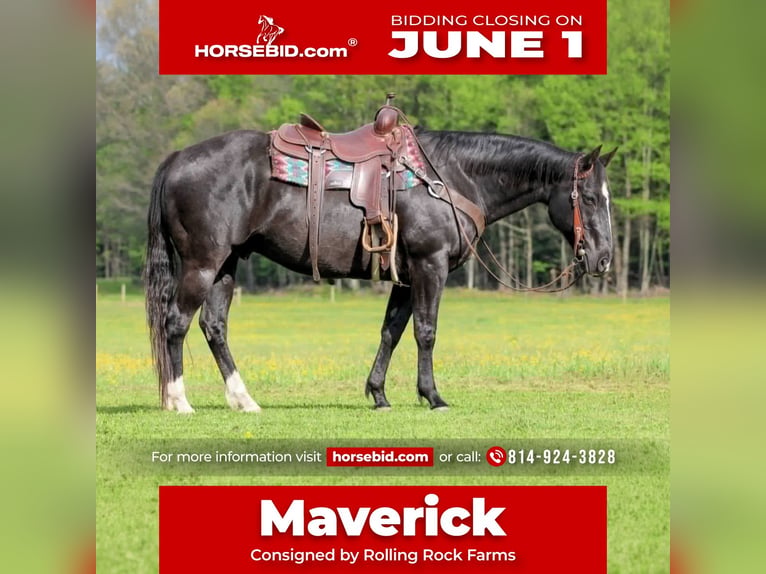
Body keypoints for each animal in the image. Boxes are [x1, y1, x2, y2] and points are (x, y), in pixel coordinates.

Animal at [145, 124, 617, 414]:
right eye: (592, 198)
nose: (603, 258)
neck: (453, 177)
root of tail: (177, 158)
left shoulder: (406, 277)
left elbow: (392, 330)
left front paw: (379, 394)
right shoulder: (430, 266)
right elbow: (426, 331)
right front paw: (433, 396)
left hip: (226, 265)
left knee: (214, 327)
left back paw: (243, 400)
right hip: (202, 263)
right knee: (176, 322)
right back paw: (178, 401)